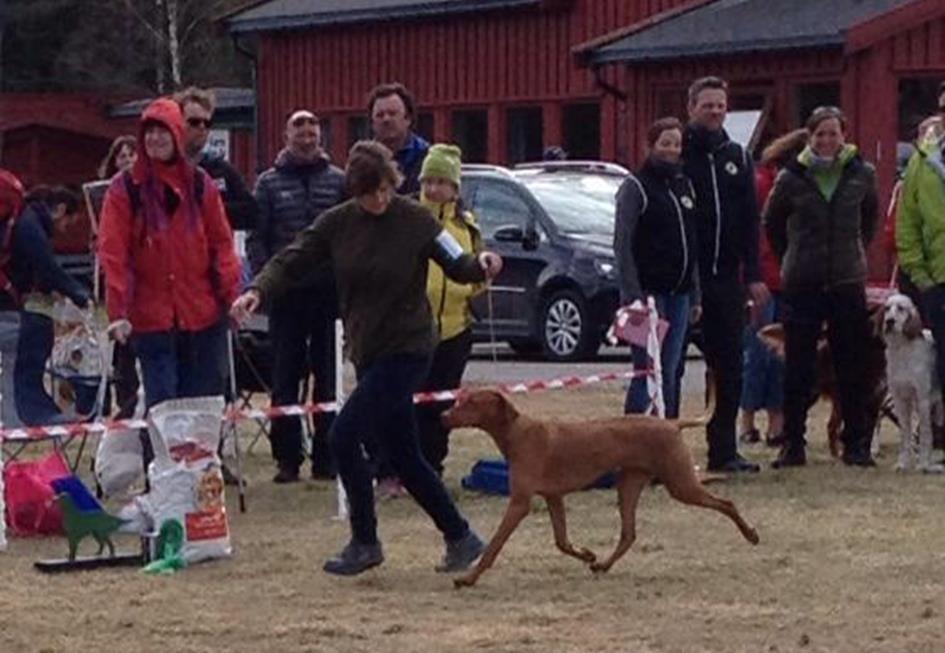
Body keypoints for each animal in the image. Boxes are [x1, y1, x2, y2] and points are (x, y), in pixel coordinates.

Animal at [442, 390, 760, 588]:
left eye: (471, 402)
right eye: (461, 399)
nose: (444, 415)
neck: (516, 432)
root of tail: (672, 423)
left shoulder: (520, 502)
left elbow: (494, 545)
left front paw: (468, 578)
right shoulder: (554, 497)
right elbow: (561, 541)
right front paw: (588, 555)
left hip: (681, 485)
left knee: (727, 504)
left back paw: (751, 534)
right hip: (629, 485)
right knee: (629, 534)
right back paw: (604, 565)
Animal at [876, 292, 944, 472]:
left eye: (901, 308)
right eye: (887, 308)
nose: (889, 321)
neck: (902, 350)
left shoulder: (923, 400)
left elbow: (926, 435)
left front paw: (924, 464)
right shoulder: (900, 400)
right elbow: (905, 435)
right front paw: (903, 463)